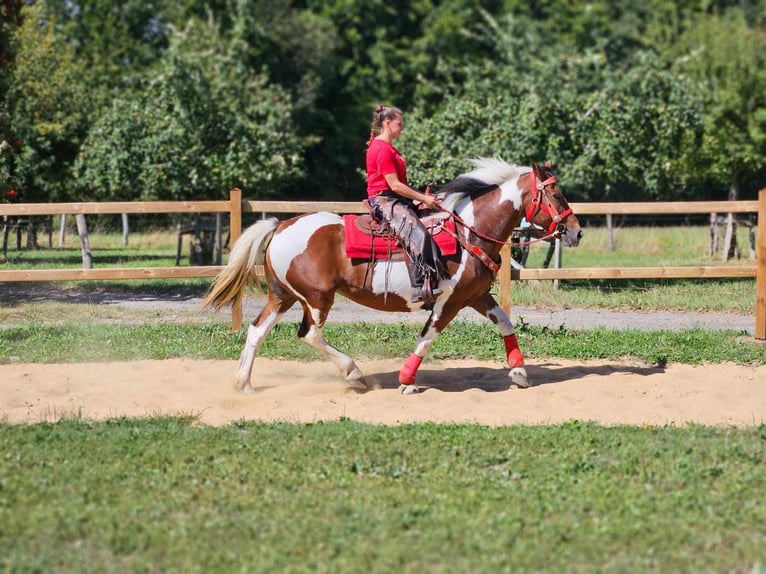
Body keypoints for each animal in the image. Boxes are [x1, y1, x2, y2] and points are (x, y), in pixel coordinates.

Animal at [204, 160, 584, 398]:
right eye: (555, 194)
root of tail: (281, 224)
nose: (576, 232)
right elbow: (428, 337)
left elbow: (505, 322)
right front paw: (407, 380)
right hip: (317, 298)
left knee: (257, 330)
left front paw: (519, 373)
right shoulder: (449, 301)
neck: (468, 232)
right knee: (309, 334)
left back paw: (244, 383)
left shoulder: (475, 296)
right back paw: (354, 373)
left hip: (282, 296)